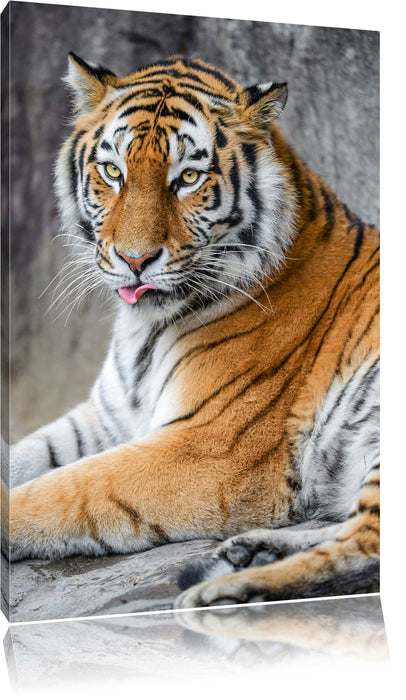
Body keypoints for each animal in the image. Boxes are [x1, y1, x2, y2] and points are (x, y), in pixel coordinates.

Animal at [3, 53, 380, 609]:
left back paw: (223, 591)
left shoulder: (207, 447)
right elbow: (28, 455)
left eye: (187, 178)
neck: (144, 328)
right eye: (112, 171)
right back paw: (250, 554)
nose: (135, 260)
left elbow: (67, 488)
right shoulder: (107, 418)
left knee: (365, 550)